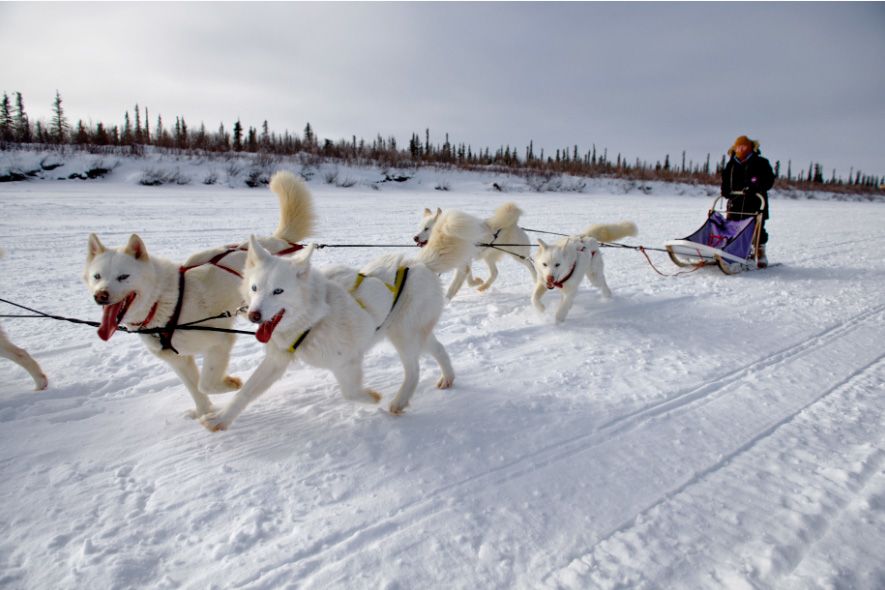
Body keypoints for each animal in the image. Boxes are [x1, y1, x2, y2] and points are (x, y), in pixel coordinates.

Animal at [83, 173, 316, 418]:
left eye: (123, 276)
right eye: (97, 276)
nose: (101, 296)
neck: (165, 302)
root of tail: (277, 242)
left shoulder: (220, 341)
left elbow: (206, 383)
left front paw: (231, 383)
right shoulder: (177, 360)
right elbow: (196, 389)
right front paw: (204, 412)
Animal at [197, 235, 452, 430]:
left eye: (278, 291)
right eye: (254, 288)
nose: (254, 315)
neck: (313, 318)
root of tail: (421, 263)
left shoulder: (347, 361)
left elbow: (350, 392)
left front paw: (372, 397)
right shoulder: (277, 359)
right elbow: (245, 392)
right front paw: (221, 418)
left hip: (404, 334)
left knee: (414, 369)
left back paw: (399, 400)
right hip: (415, 333)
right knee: (439, 349)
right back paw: (448, 378)